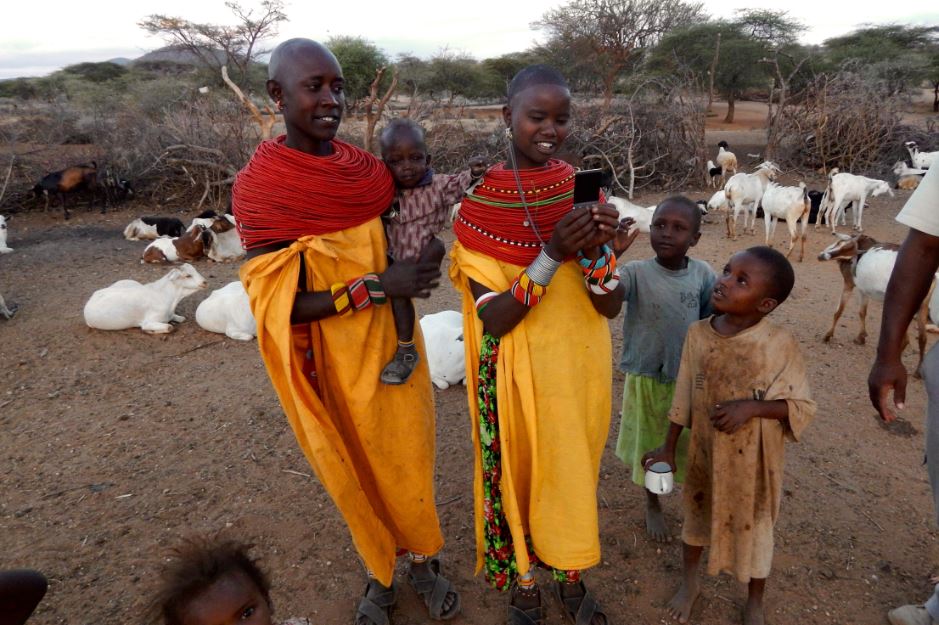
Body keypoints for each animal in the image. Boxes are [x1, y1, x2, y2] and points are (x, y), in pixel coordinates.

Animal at [820, 232, 928, 372]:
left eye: (845, 247)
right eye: (839, 243)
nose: (822, 256)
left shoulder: (849, 284)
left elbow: (839, 311)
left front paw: (828, 335)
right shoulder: (863, 290)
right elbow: (862, 312)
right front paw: (861, 338)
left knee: (906, 339)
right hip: (923, 307)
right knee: (923, 337)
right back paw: (918, 371)